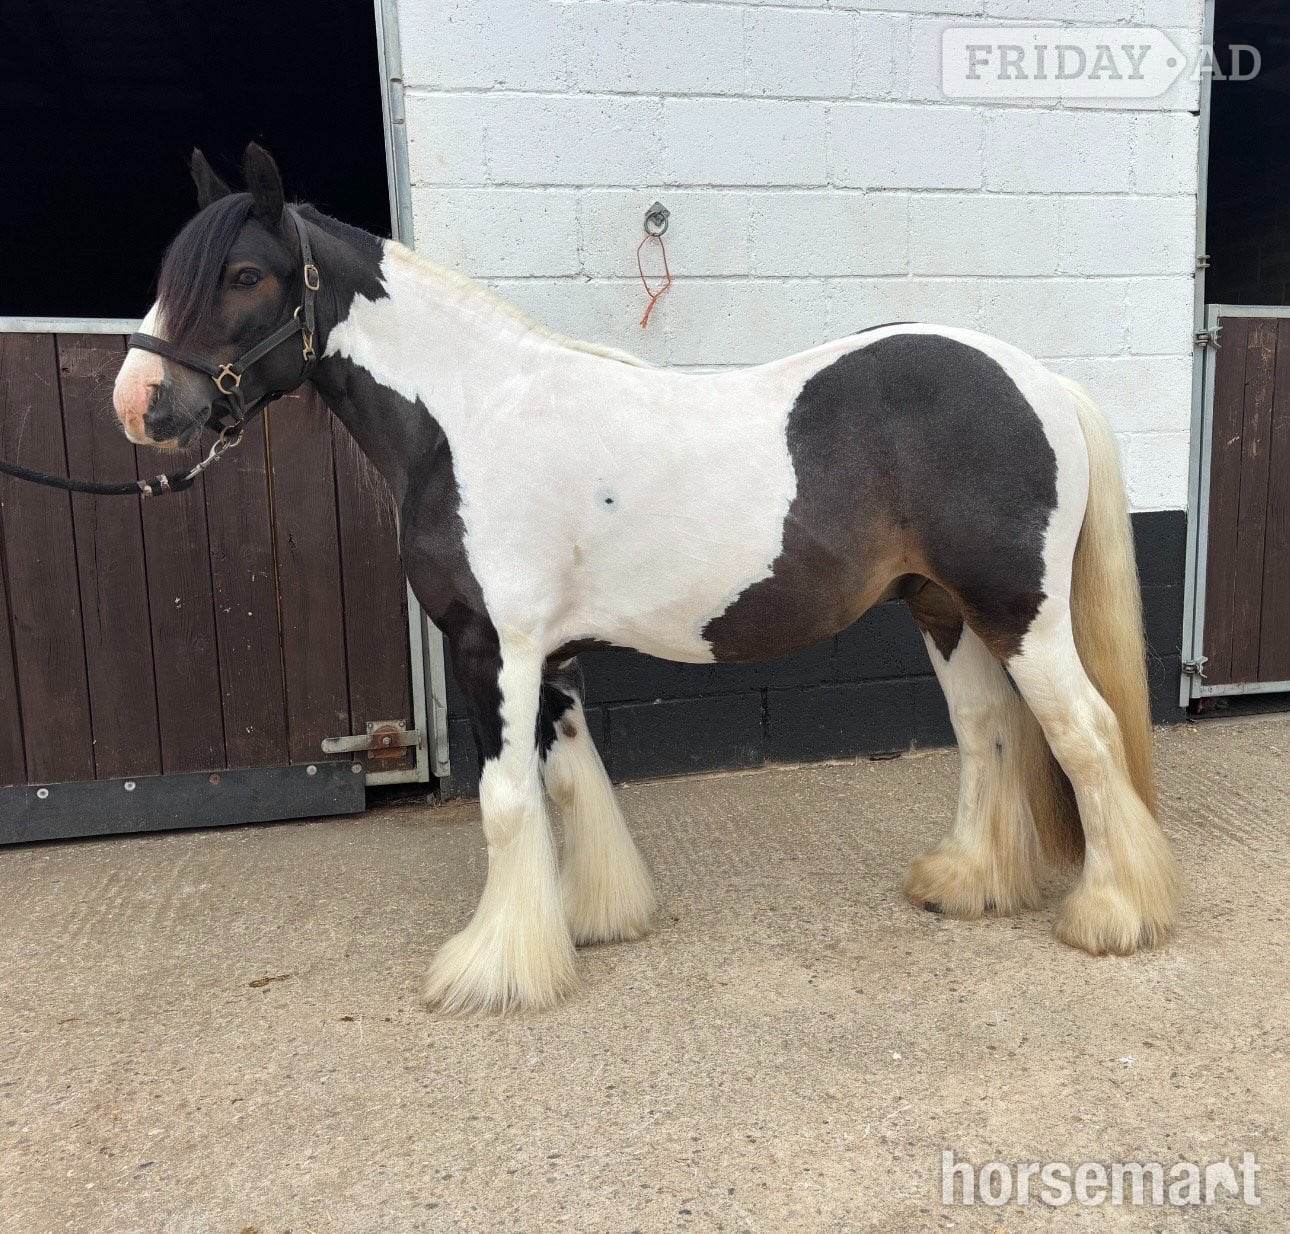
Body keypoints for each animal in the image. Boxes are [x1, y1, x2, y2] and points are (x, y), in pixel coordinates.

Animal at [113, 145, 1180, 1014]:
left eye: (244, 274)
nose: (139, 404)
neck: (472, 417)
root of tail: (1037, 380)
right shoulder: (548, 658)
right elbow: (571, 783)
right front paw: (589, 922)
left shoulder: (493, 649)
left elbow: (510, 802)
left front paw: (493, 971)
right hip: (943, 609)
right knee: (986, 731)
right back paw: (968, 882)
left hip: (1018, 613)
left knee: (1086, 735)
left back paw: (1115, 914)